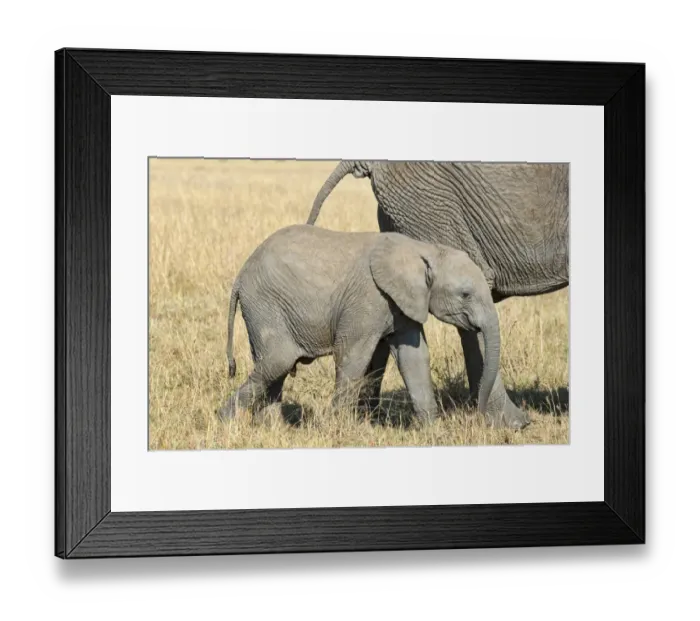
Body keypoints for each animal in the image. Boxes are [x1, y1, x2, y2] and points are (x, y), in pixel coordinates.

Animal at [217, 223, 512, 428]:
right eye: (465, 294)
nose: (479, 414)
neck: (424, 249)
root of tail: (240, 276)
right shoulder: (368, 299)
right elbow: (352, 356)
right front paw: (335, 428)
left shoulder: (402, 303)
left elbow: (414, 358)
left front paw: (432, 430)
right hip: (265, 304)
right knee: (279, 361)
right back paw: (224, 420)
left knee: (272, 366)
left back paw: (273, 429)